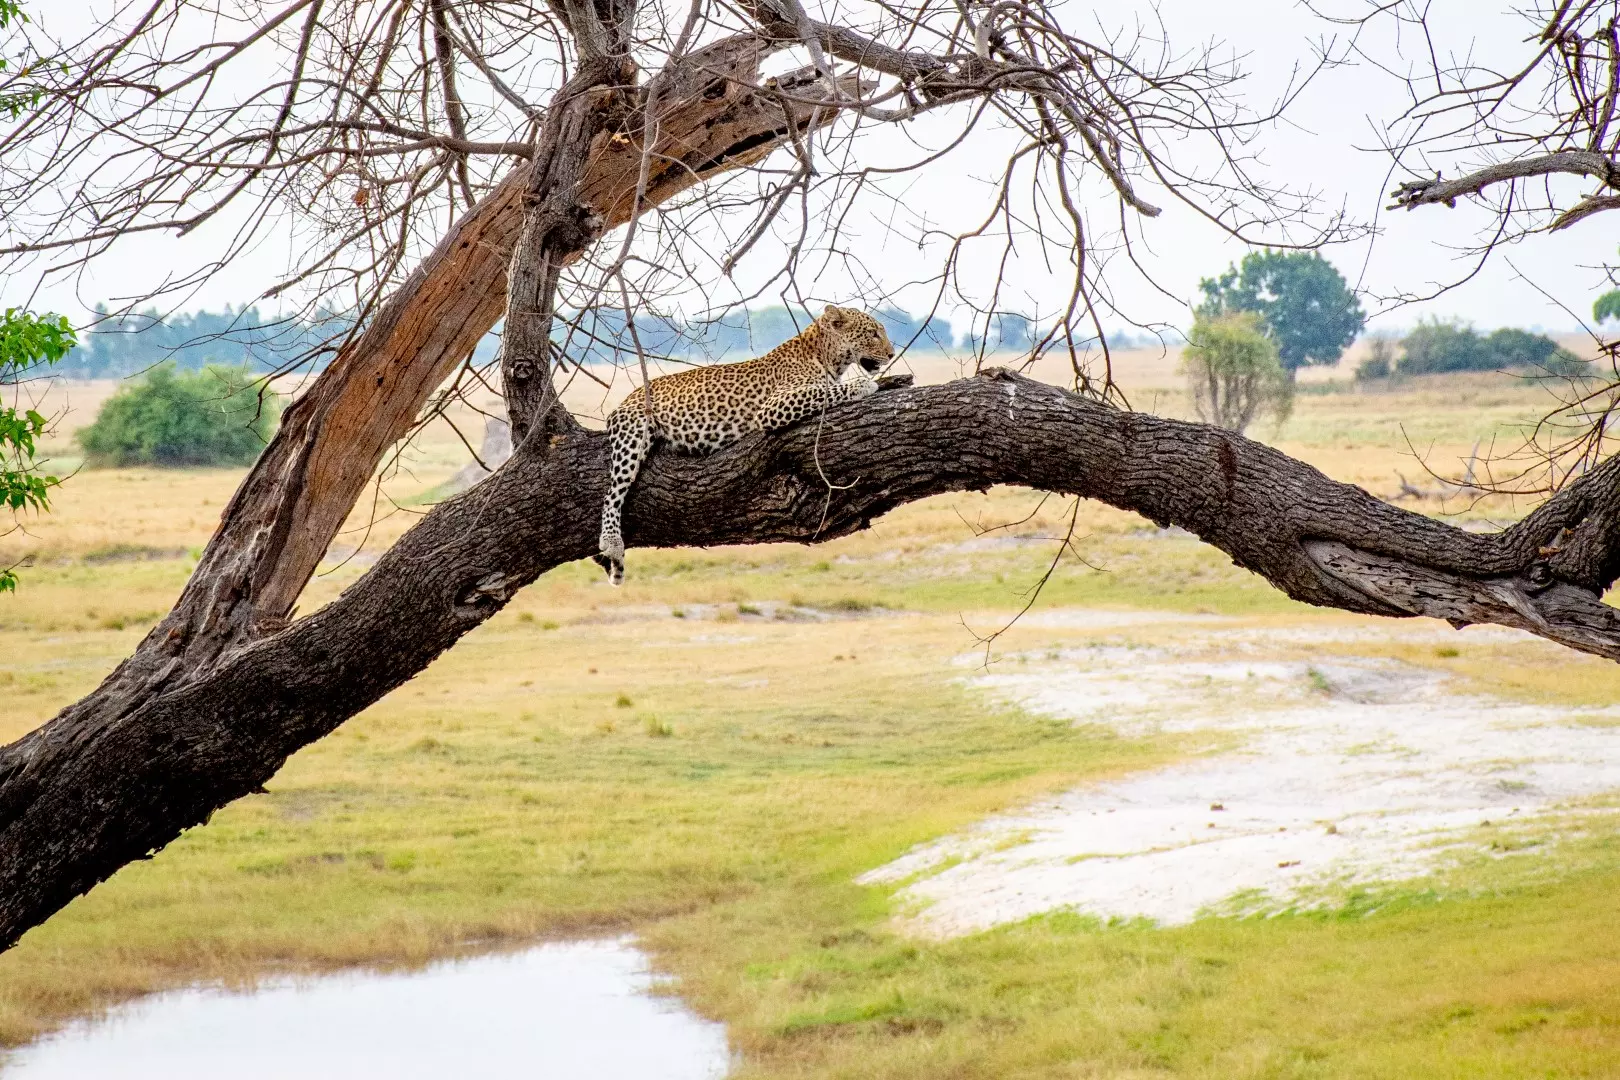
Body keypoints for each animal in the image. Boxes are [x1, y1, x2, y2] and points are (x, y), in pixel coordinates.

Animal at [594, 305, 895, 585]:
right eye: (873, 333)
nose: (892, 355)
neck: (828, 356)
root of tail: (628, 397)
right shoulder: (773, 406)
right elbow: (824, 392)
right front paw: (862, 385)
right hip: (634, 432)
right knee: (612, 493)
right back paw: (612, 542)